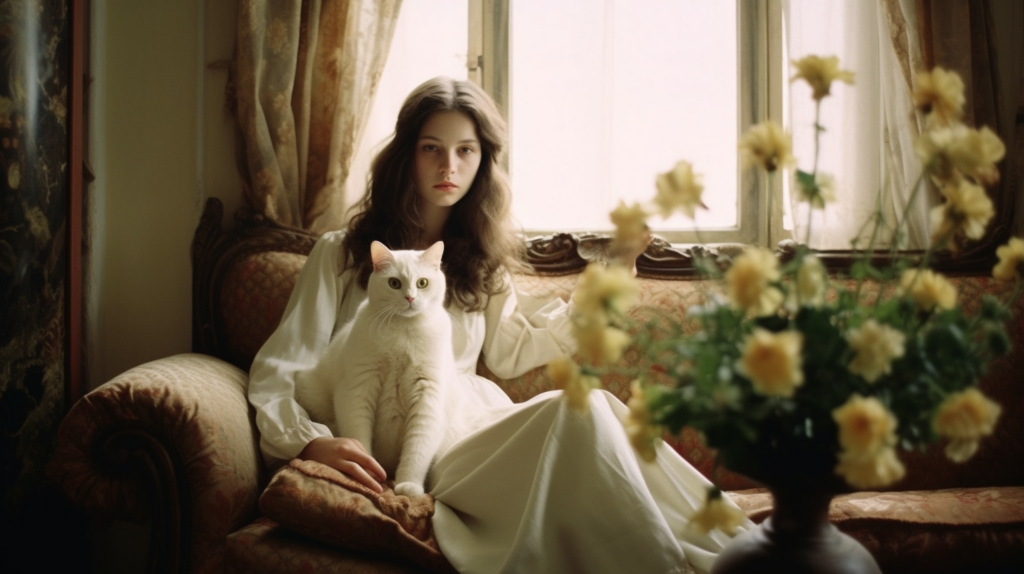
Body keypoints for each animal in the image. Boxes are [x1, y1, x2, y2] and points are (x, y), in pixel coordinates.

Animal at [294, 239, 458, 495]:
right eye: (394, 283)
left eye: (422, 283)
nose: (410, 298)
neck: (403, 329)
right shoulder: (358, 388)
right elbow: (359, 435)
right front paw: (368, 474)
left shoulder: (428, 399)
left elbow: (417, 449)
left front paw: (408, 485)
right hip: (309, 390)